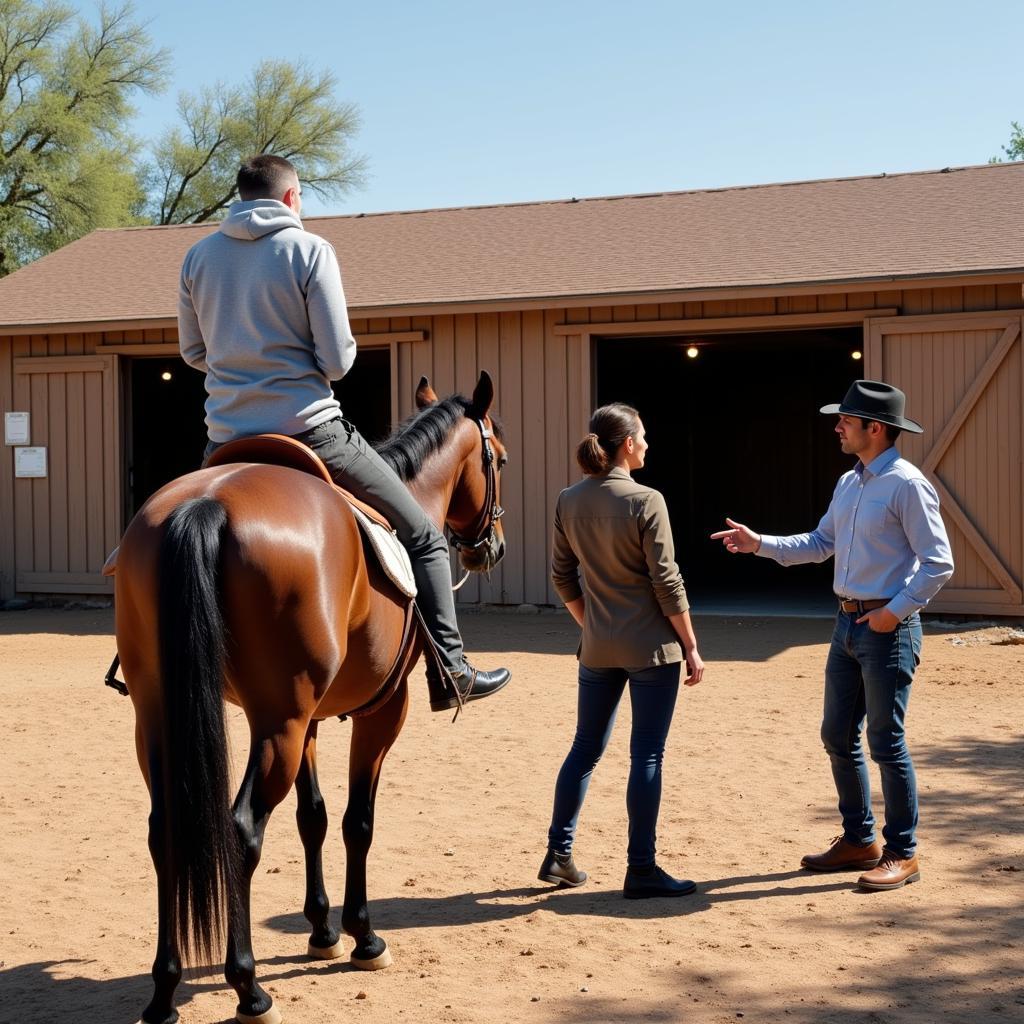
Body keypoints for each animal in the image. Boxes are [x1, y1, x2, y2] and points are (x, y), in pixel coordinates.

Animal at [113, 372, 507, 1024]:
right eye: (497, 456)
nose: (490, 547)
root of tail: (208, 502)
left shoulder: (313, 721)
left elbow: (313, 817)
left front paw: (322, 931)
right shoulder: (382, 712)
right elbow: (357, 822)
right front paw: (363, 936)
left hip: (168, 717)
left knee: (165, 829)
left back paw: (165, 992)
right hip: (280, 723)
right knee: (242, 829)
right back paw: (248, 988)